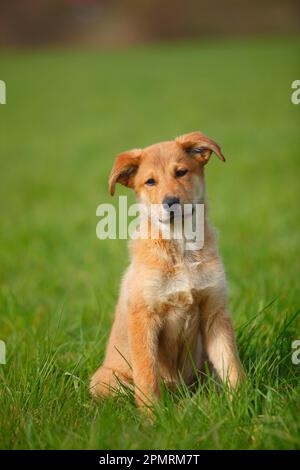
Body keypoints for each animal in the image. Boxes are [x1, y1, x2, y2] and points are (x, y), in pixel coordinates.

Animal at [90, 131, 245, 408]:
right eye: (150, 181)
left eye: (181, 172)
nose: (171, 202)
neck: (181, 249)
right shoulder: (144, 317)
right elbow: (147, 376)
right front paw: (153, 416)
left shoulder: (215, 313)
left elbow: (231, 365)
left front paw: (241, 405)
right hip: (104, 381)